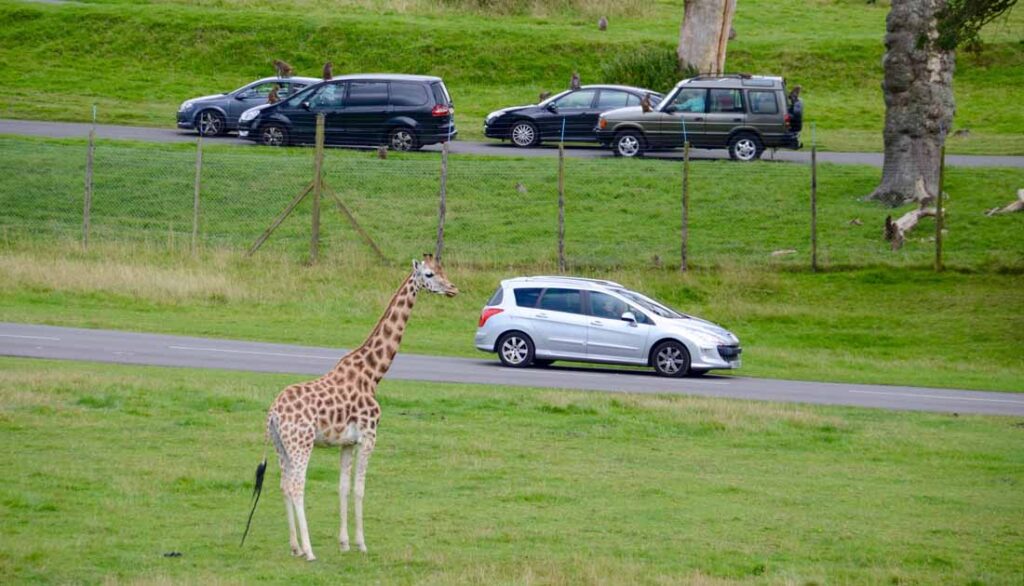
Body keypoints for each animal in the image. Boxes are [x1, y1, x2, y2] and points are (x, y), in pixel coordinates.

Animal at [241, 254, 458, 561]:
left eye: (443, 270)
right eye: (429, 274)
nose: (453, 289)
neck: (373, 374)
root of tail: (273, 413)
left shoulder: (346, 443)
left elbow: (342, 487)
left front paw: (344, 543)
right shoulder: (369, 436)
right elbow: (359, 488)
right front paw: (361, 543)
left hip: (281, 445)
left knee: (284, 484)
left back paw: (295, 546)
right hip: (301, 443)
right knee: (296, 485)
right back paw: (309, 551)